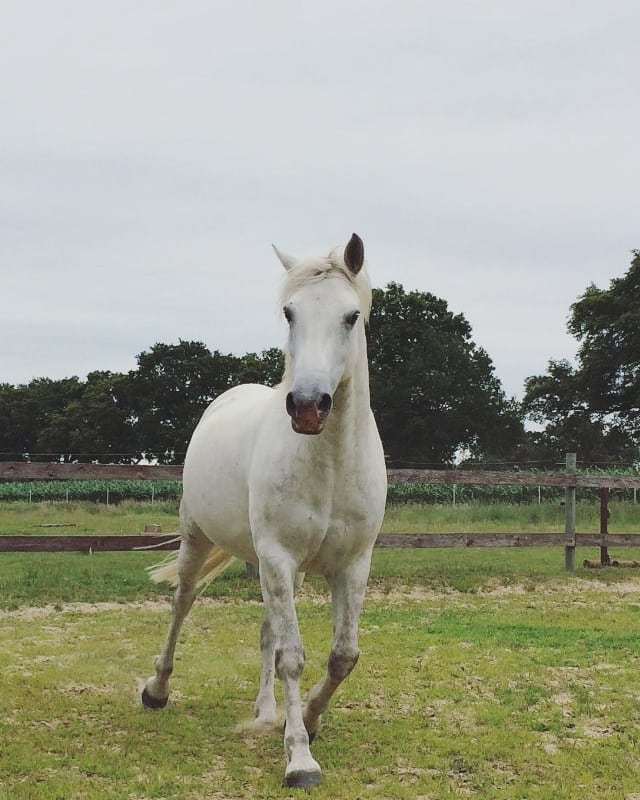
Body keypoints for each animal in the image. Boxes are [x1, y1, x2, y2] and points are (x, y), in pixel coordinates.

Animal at [141, 233, 387, 788]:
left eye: (351, 316)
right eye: (290, 312)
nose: (308, 407)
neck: (331, 463)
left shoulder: (351, 565)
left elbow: (342, 656)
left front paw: (308, 721)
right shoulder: (277, 556)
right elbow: (293, 657)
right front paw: (300, 759)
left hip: (282, 571)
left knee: (266, 634)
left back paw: (265, 712)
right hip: (200, 539)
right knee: (182, 603)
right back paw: (157, 690)